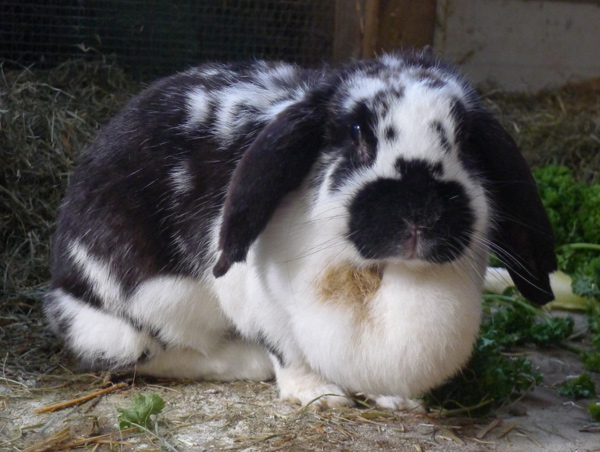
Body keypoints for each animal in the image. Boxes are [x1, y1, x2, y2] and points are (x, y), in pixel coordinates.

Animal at [44, 50, 557, 410]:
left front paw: (399, 401)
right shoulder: (258, 300)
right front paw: (319, 396)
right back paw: (244, 361)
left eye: (465, 141)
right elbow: (286, 350)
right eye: (357, 133)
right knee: (140, 355)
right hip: (129, 320)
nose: (419, 213)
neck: (380, 273)